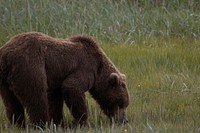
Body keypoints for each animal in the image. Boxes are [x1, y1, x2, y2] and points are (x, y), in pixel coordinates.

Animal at [0, 31, 129, 127]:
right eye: (121, 104)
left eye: (125, 104)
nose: (124, 120)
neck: (99, 68)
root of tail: (5, 54)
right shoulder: (85, 67)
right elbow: (71, 87)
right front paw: (80, 122)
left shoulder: (56, 78)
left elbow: (55, 99)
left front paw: (58, 123)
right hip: (30, 66)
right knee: (36, 95)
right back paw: (42, 124)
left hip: (5, 79)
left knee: (11, 102)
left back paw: (18, 124)